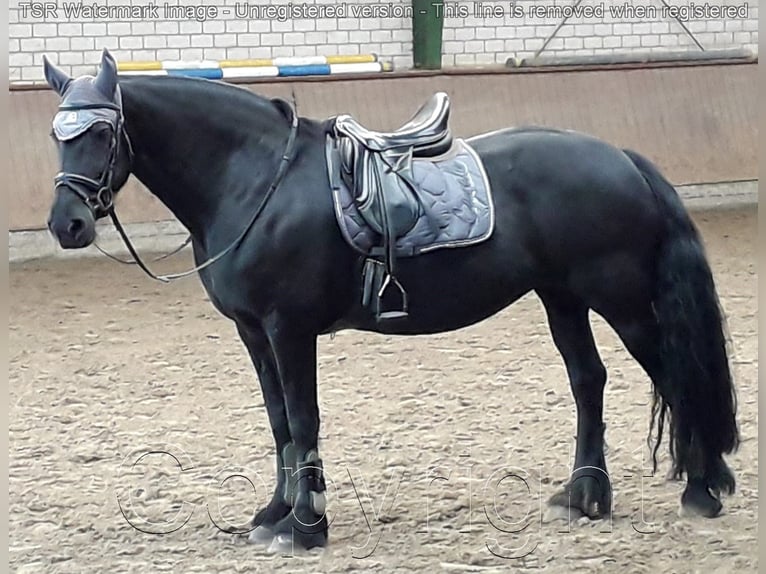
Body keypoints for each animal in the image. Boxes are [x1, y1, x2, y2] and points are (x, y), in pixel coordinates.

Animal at [40, 53, 736, 552]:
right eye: (57, 134)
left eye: (102, 132)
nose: (67, 224)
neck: (256, 179)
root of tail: (620, 156)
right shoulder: (254, 333)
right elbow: (278, 423)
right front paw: (275, 513)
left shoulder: (289, 329)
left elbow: (303, 420)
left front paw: (306, 527)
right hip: (561, 298)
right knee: (588, 380)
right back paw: (585, 495)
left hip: (621, 301)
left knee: (673, 373)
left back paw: (703, 489)